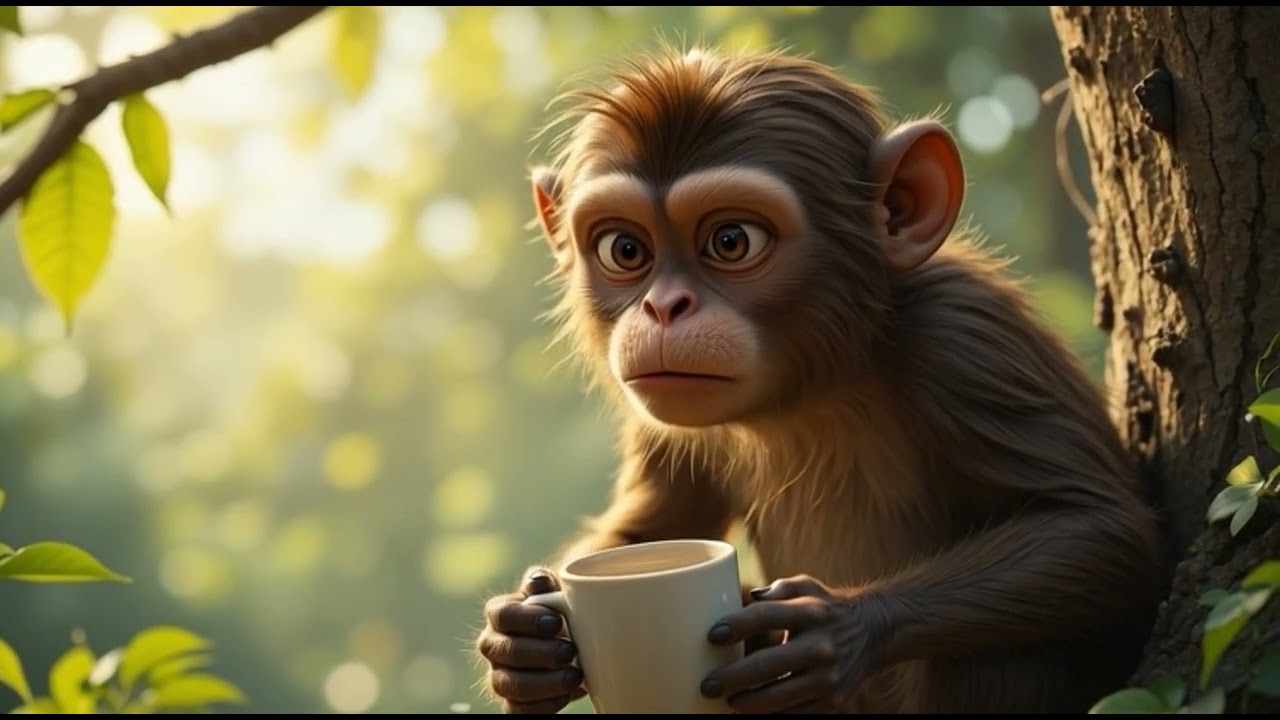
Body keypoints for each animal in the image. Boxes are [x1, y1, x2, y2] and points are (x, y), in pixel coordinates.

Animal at [473, 45, 1162, 714]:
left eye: (732, 240)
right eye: (624, 250)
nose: (665, 307)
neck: (818, 381)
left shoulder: (966, 334)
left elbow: (1094, 526)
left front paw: (836, 628)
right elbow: (652, 528)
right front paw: (523, 639)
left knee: (989, 656)